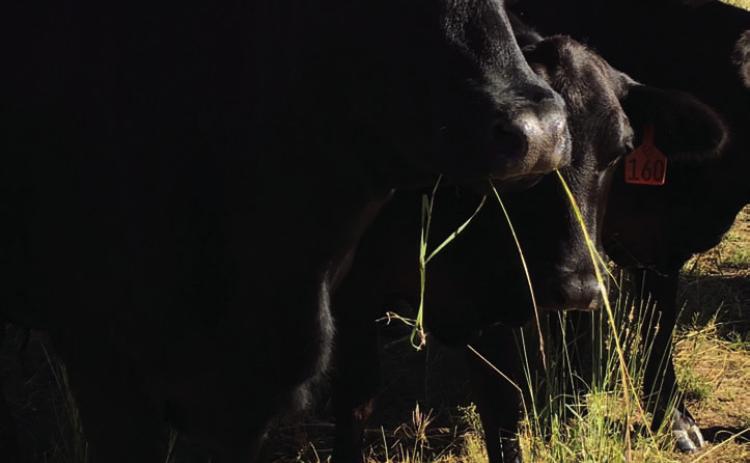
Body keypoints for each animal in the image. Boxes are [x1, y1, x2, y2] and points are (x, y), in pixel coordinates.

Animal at [330, 32, 727, 463]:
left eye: (622, 149)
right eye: (521, 155)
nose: (579, 288)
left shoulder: (494, 313)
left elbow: (503, 422)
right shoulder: (352, 301)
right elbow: (354, 409)